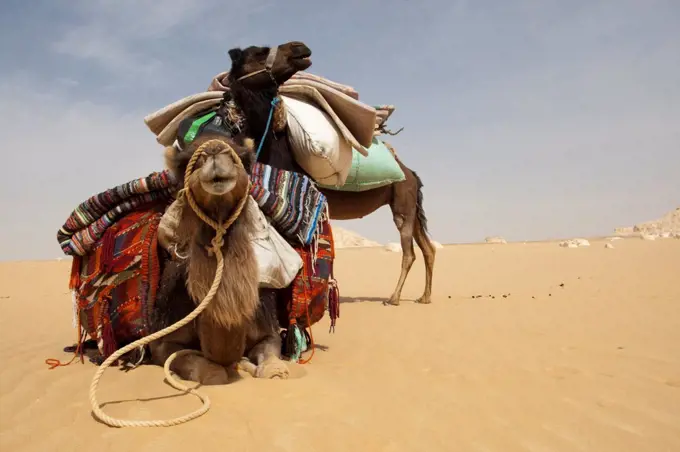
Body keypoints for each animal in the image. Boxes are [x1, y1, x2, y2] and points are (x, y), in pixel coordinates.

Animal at [147, 132, 288, 384]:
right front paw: (216, 372)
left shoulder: (266, 321)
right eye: (188, 162)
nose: (213, 150)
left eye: (242, 157)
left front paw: (274, 370)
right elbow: (198, 364)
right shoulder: (163, 337)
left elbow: (271, 349)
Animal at [222, 42, 436, 306]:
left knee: (409, 251)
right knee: (427, 248)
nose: (299, 47)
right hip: (410, 203)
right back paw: (424, 297)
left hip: (403, 200)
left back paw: (394, 298)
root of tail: (411, 174)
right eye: (259, 52)